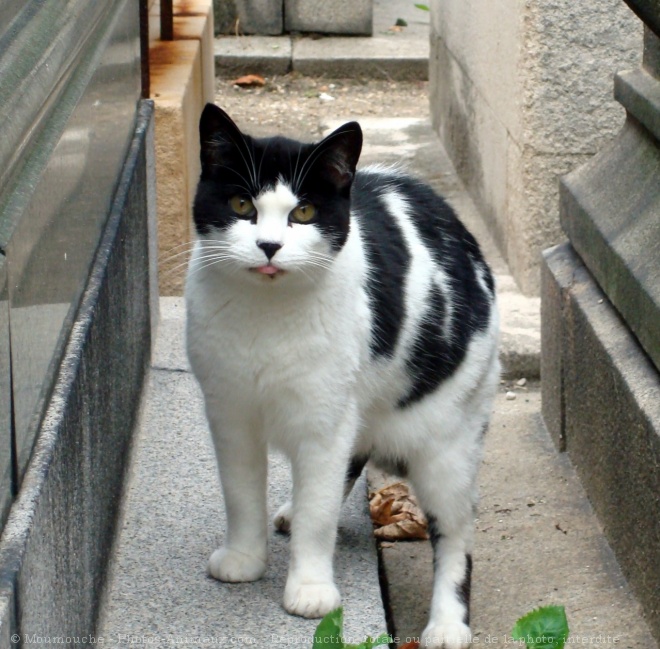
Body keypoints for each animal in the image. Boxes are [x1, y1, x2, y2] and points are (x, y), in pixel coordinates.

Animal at [183, 104, 498, 644]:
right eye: (242, 204)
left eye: (304, 213)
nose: (269, 246)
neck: (266, 317)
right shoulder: (230, 414)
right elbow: (241, 494)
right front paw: (244, 559)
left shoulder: (323, 420)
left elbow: (319, 512)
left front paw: (309, 591)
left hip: (449, 443)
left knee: (456, 533)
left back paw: (447, 624)